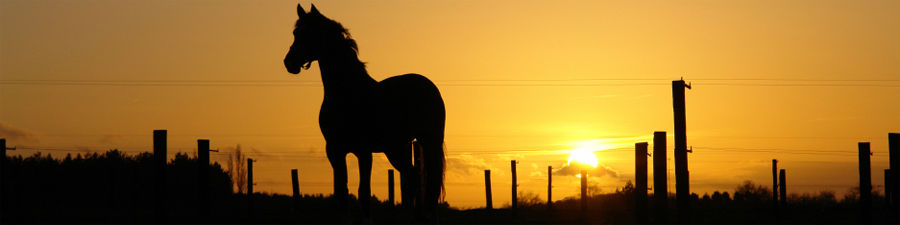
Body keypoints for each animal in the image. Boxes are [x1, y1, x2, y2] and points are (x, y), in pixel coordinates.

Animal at [284, 4, 444, 222]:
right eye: (295, 33)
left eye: (310, 33)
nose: (289, 63)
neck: (347, 93)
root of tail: (428, 85)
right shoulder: (334, 150)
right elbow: (342, 192)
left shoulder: (363, 151)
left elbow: (364, 193)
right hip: (396, 148)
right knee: (411, 177)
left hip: (429, 141)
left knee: (429, 184)